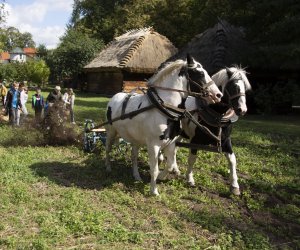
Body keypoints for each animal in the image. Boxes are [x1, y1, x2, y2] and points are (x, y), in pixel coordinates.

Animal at [105, 54, 223, 195]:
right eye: (199, 73)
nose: (218, 95)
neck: (165, 109)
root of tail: (114, 97)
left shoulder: (170, 143)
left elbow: (170, 165)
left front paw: (162, 176)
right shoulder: (153, 145)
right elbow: (154, 169)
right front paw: (154, 190)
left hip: (136, 140)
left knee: (134, 156)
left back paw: (136, 176)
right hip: (111, 132)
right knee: (108, 149)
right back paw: (108, 167)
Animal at [182, 66, 252, 195]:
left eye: (245, 88)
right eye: (233, 87)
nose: (243, 110)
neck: (217, 116)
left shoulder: (226, 141)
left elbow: (232, 160)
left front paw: (235, 186)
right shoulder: (195, 141)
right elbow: (192, 159)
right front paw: (189, 179)